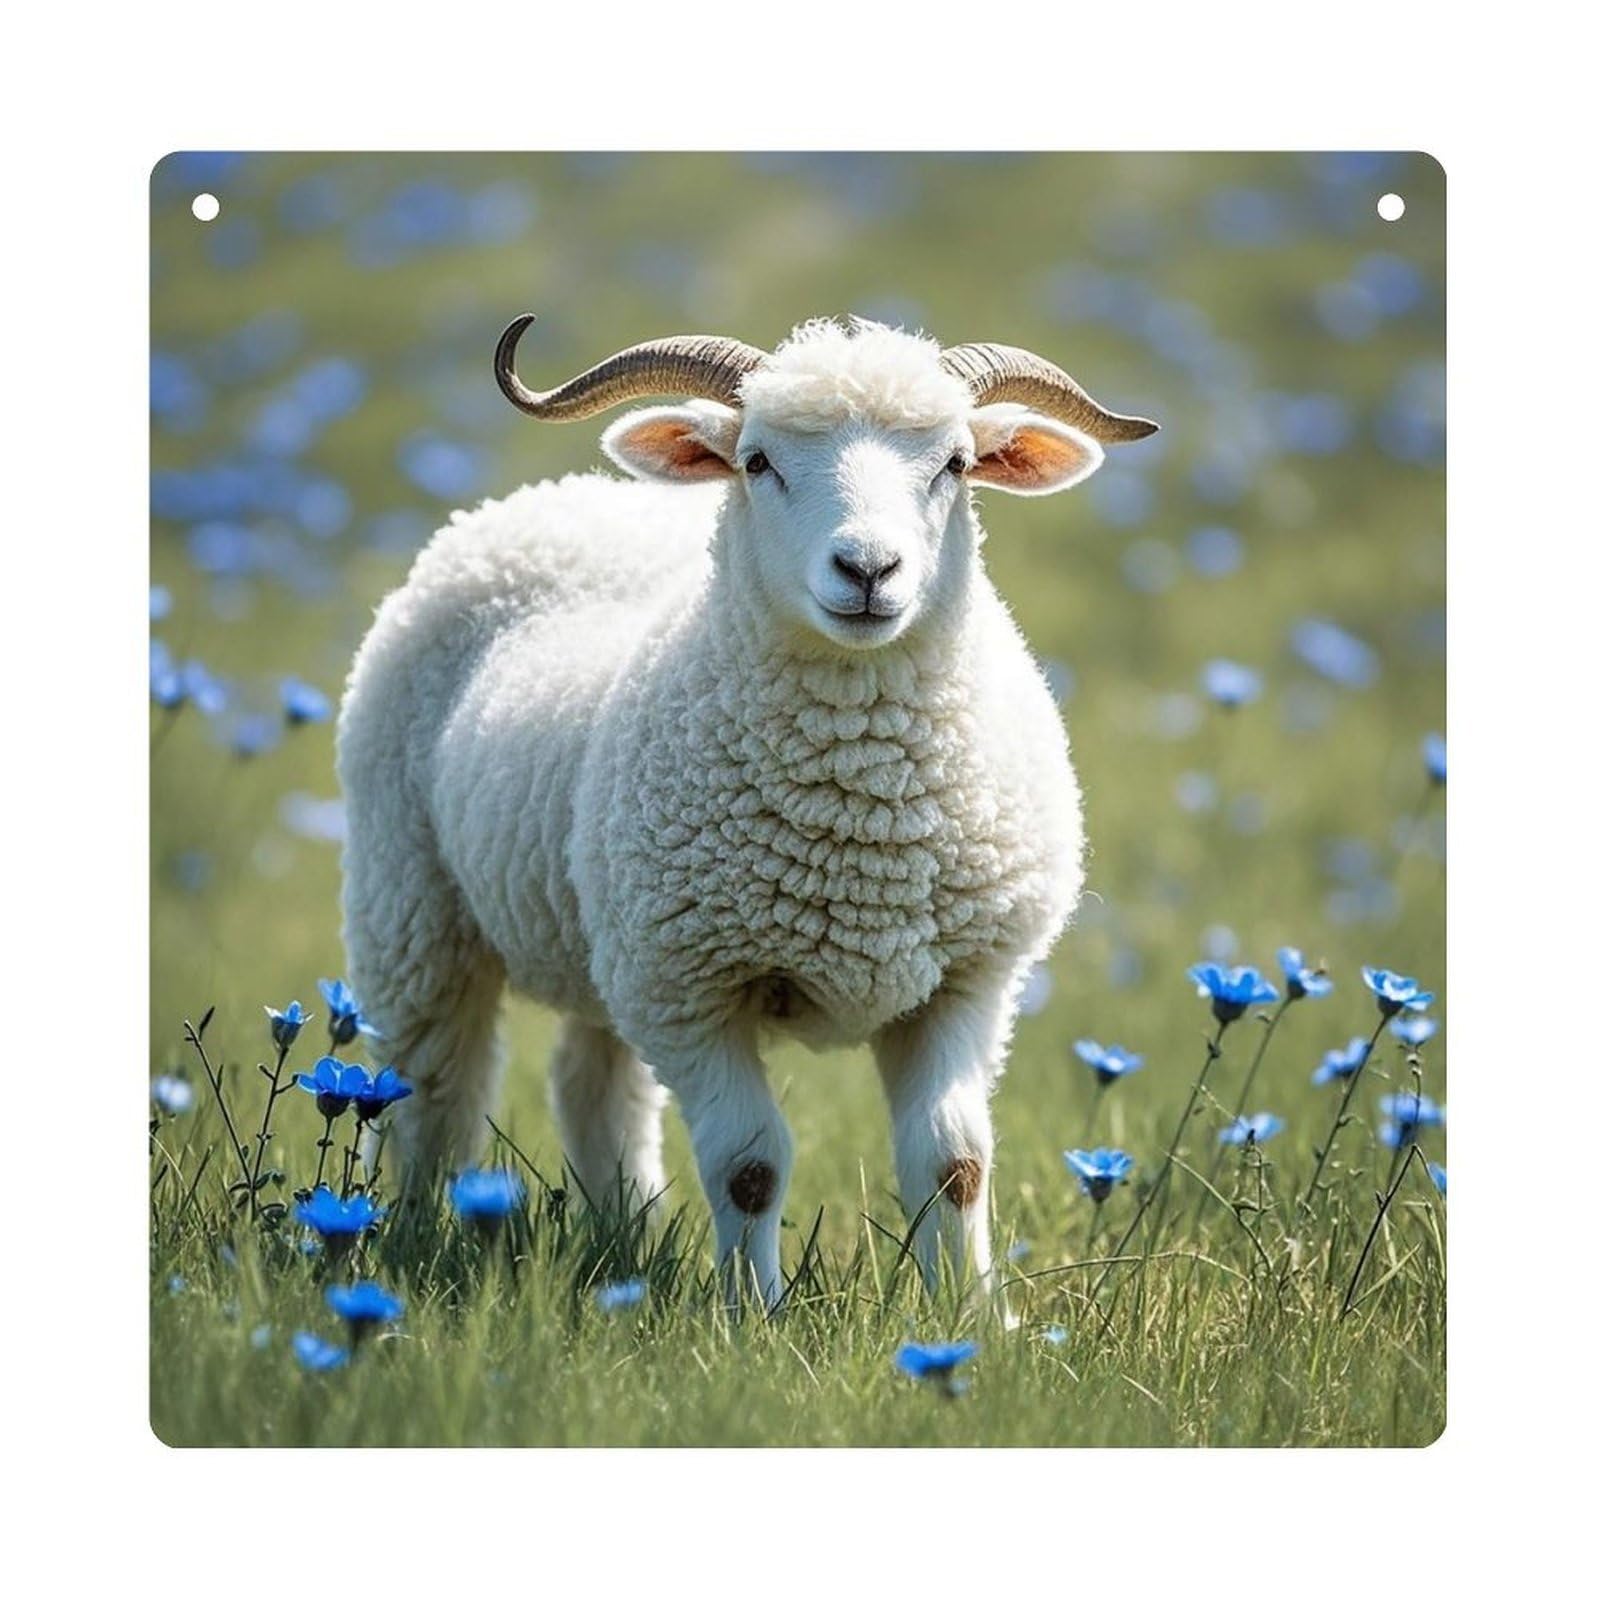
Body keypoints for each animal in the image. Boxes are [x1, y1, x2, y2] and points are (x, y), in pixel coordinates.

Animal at [337, 315, 1156, 1306]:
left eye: (956, 464)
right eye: (758, 461)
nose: (869, 570)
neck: (862, 816)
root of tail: (561, 496)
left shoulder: (968, 981)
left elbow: (955, 1162)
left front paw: (967, 1312)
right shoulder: (690, 989)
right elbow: (750, 1167)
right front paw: (751, 1315)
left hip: (602, 935)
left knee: (592, 1085)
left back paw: (628, 1233)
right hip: (414, 902)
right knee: (432, 1085)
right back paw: (414, 1231)